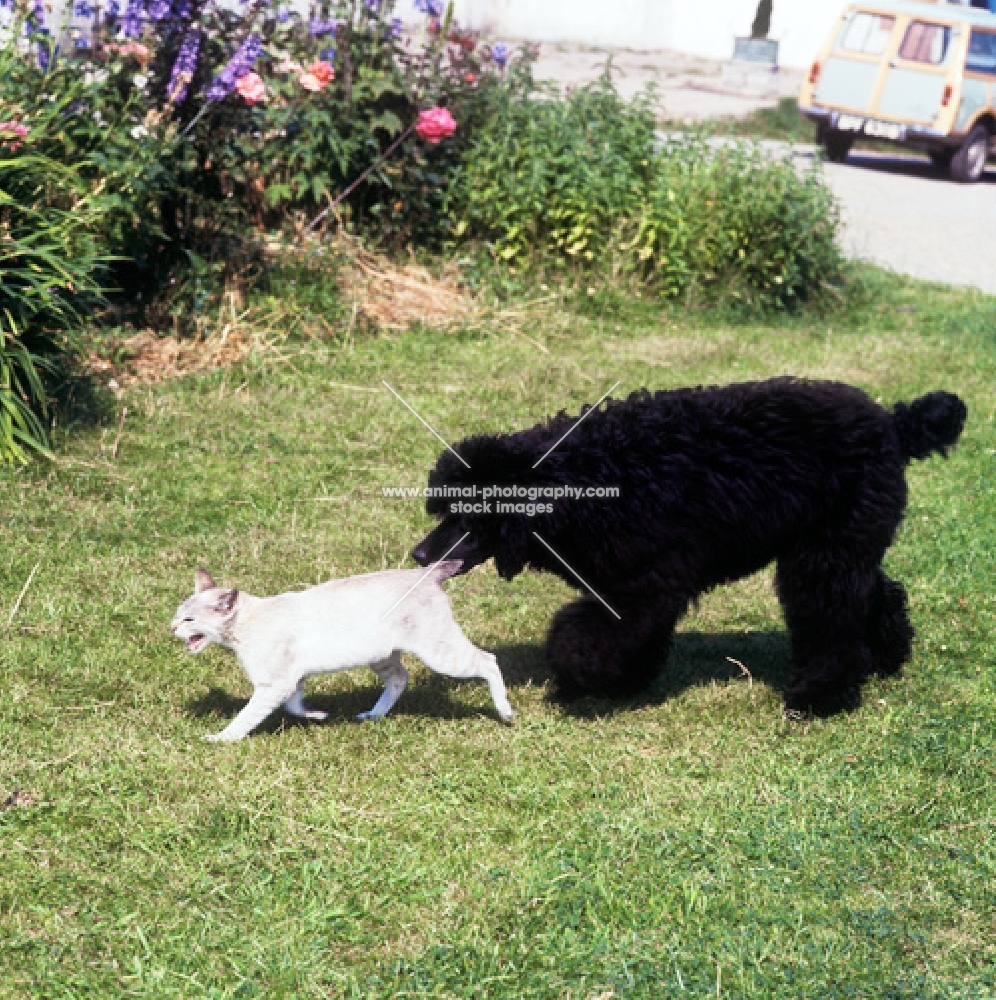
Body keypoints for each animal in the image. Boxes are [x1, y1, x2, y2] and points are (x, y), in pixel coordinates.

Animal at [171, 568, 512, 740]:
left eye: (189, 620)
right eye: (178, 615)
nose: (171, 627)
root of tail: (426, 572)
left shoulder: (275, 684)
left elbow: (245, 718)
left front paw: (220, 738)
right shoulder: (292, 681)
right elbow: (295, 706)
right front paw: (318, 716)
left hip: (440, 653)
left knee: (489, 661)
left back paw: (506, 712)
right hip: (381, 657)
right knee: (401, 678)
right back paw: (373, 715)